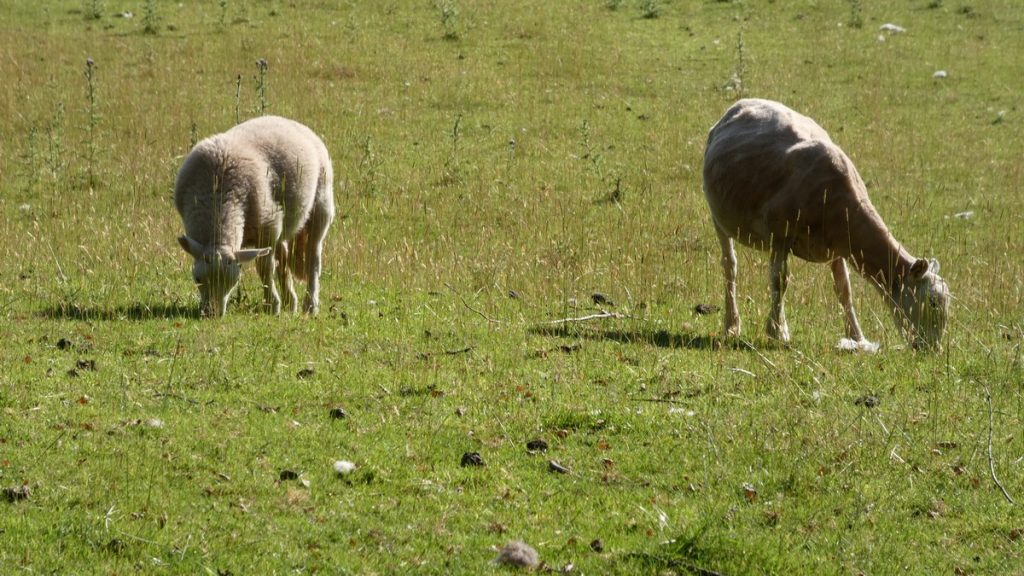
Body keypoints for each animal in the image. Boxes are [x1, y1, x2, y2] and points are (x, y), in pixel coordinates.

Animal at [174, 116, 335, 317]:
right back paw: (290, 302)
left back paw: (310, 305)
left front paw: (272, 305)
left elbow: (264, 268)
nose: (212, 313)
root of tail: (287, 120)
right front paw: (276, 303)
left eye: (233, 282)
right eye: (197, 278)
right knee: (283, 259)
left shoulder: (267, 228)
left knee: (313, 259)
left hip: (321, 207)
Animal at [702, 98, 950, 351]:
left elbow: (844, 289)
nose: (933, 349)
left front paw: (856, 336)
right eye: (932, 302)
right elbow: (780, 281)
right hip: (718, 218)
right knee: (730, 266)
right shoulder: (779, 235)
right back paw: (731, 324)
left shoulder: (838, 247)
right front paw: (777, 331)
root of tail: (742, 103)